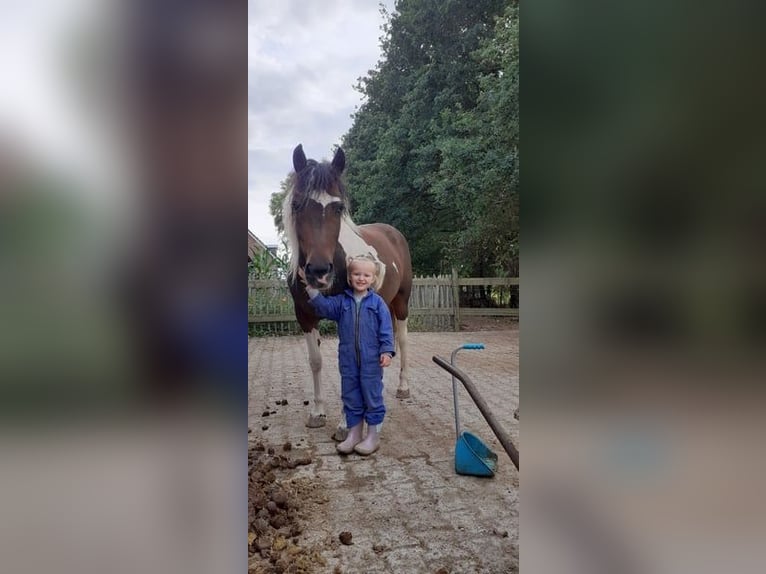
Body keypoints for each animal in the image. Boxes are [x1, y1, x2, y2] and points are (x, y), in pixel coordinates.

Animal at [283, 144, 413, 439]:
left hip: (401, 303)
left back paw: (403, 387)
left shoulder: (348, 315)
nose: (319, 271)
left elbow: (348, 365)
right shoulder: (305, 317)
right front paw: (318, 412)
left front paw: (346, 423)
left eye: (338, 207)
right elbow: (316, 361)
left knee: (401, 340)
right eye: (297, 205)